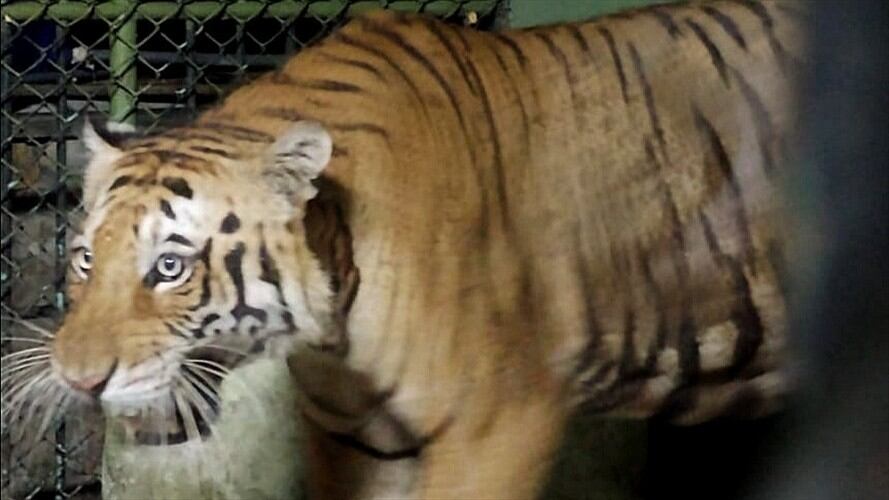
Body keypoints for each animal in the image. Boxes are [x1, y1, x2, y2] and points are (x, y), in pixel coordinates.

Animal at [1, 0, 807, 498]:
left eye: (169, 266)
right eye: (84, 260)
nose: (78, 380)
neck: (333, 329)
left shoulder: (497, 424)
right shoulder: (360, 442)